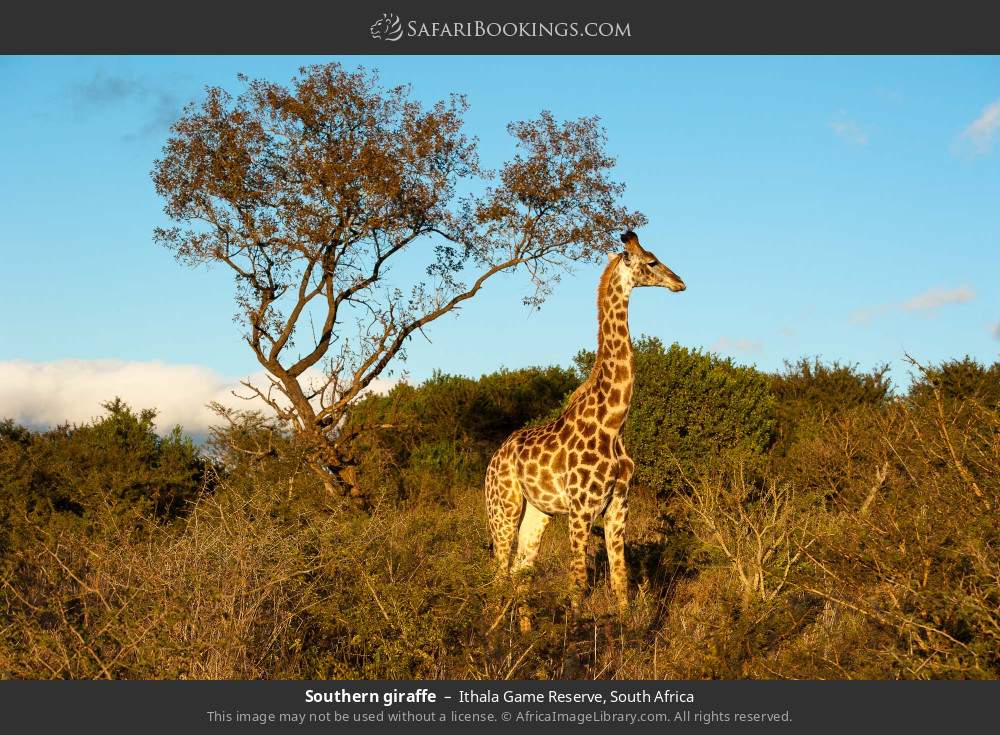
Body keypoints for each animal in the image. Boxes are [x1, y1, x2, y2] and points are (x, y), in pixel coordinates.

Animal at [485, 230, 686, 614]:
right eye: (651, 261)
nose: (679, 282)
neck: (612, 422)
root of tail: (494, 457)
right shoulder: (580, 510)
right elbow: (577, 585)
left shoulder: (618, 506)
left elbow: (620, 582)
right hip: (503, 507)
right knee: (497, 577)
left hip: (538, 512)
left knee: (520, 575)